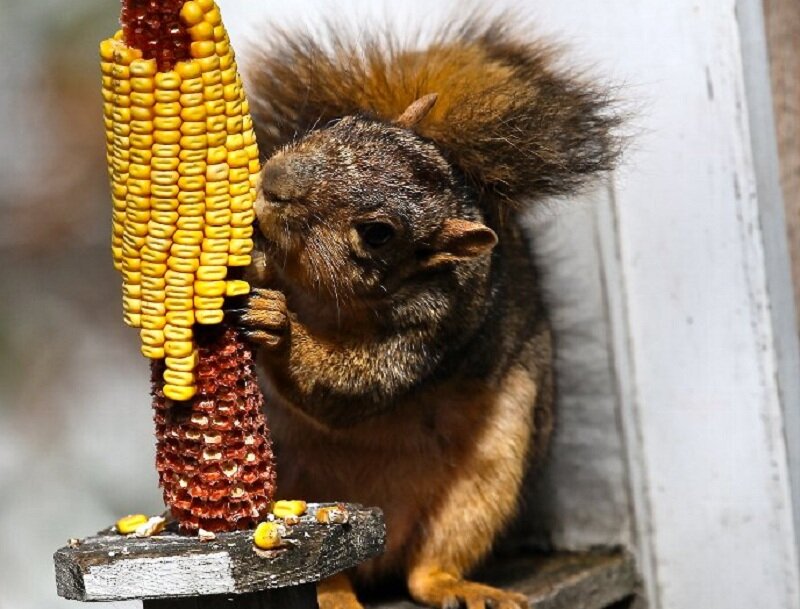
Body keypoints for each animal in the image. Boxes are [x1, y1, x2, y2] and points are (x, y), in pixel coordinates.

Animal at [233, 16, 620, 609]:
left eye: (376, 233)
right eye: (344, 124)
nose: (275, 181)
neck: (314, 295)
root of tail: (377, 542)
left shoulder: (434, 331)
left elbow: (348, 390)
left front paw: (279, 330)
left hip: (490, 474)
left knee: (427, 567)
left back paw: (455, 585)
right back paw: (336, 593)